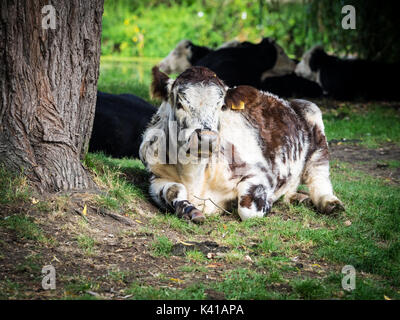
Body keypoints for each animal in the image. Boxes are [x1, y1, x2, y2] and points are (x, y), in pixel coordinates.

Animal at [139, 67, 342, 222]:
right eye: (180, 103)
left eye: (221, 106)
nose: (207, 138)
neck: (194, 175)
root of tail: (287, 101)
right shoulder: (156, 177)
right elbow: (174, 190)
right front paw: (190, 211)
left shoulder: (261, 173)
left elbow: (248, 210)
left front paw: (267, 203)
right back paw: (298, 198)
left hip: (314, 120)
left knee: (319, 176)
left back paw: (329, 202)